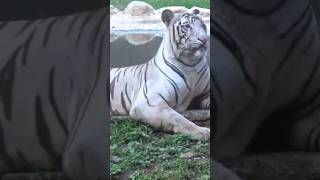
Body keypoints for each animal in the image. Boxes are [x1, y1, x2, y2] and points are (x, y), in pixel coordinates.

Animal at [110, 8, 210, 140]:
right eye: (187, 26)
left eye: (203, 25)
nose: (204, 40)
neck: (191, 64)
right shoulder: (149, 103)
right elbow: (177, 118)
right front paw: (202, 132)